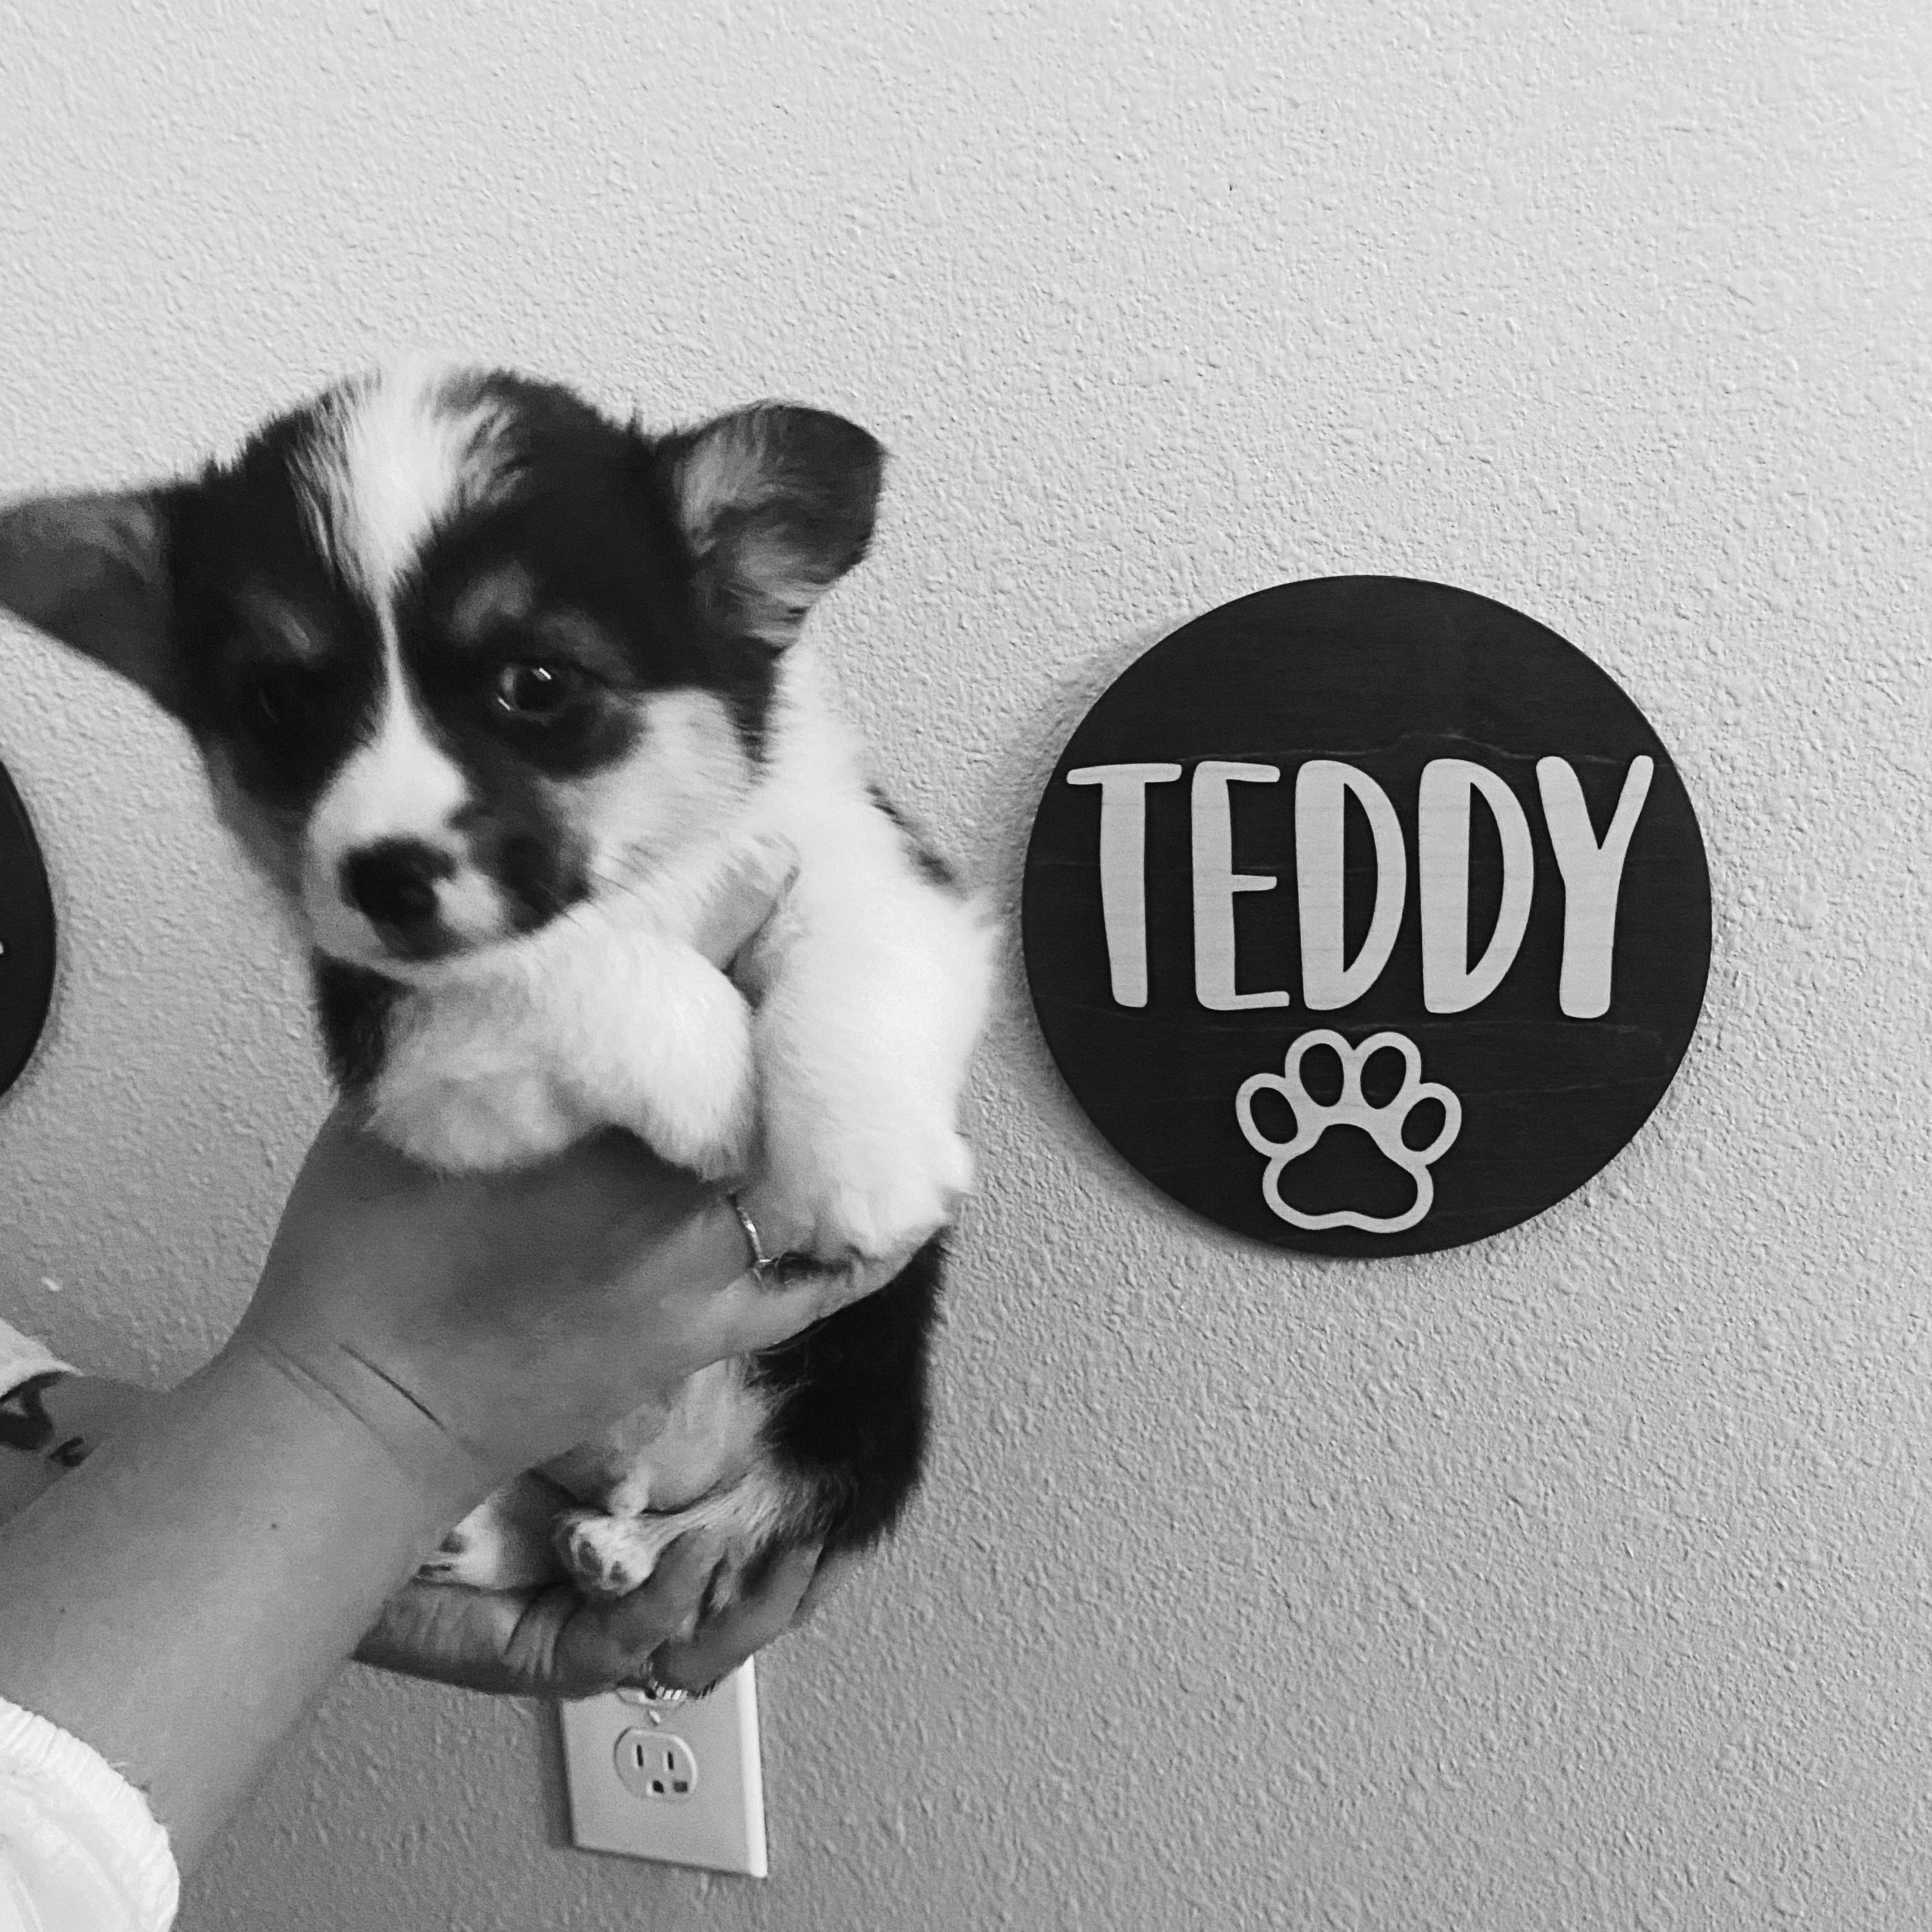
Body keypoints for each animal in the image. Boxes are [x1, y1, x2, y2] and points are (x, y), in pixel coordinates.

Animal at [0, 363, 996, 1609]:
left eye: (538, 682)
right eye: (278, 702)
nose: (382, 874)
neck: (646, 864)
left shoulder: (881, 871)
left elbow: (859, 961)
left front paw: (862, 1168)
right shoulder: (417, 1064)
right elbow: (563, 957)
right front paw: (717, 1084)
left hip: (862, 1414)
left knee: (762, 1506)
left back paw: (635, 1545)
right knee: (548, 1509)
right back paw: (505, 1540)